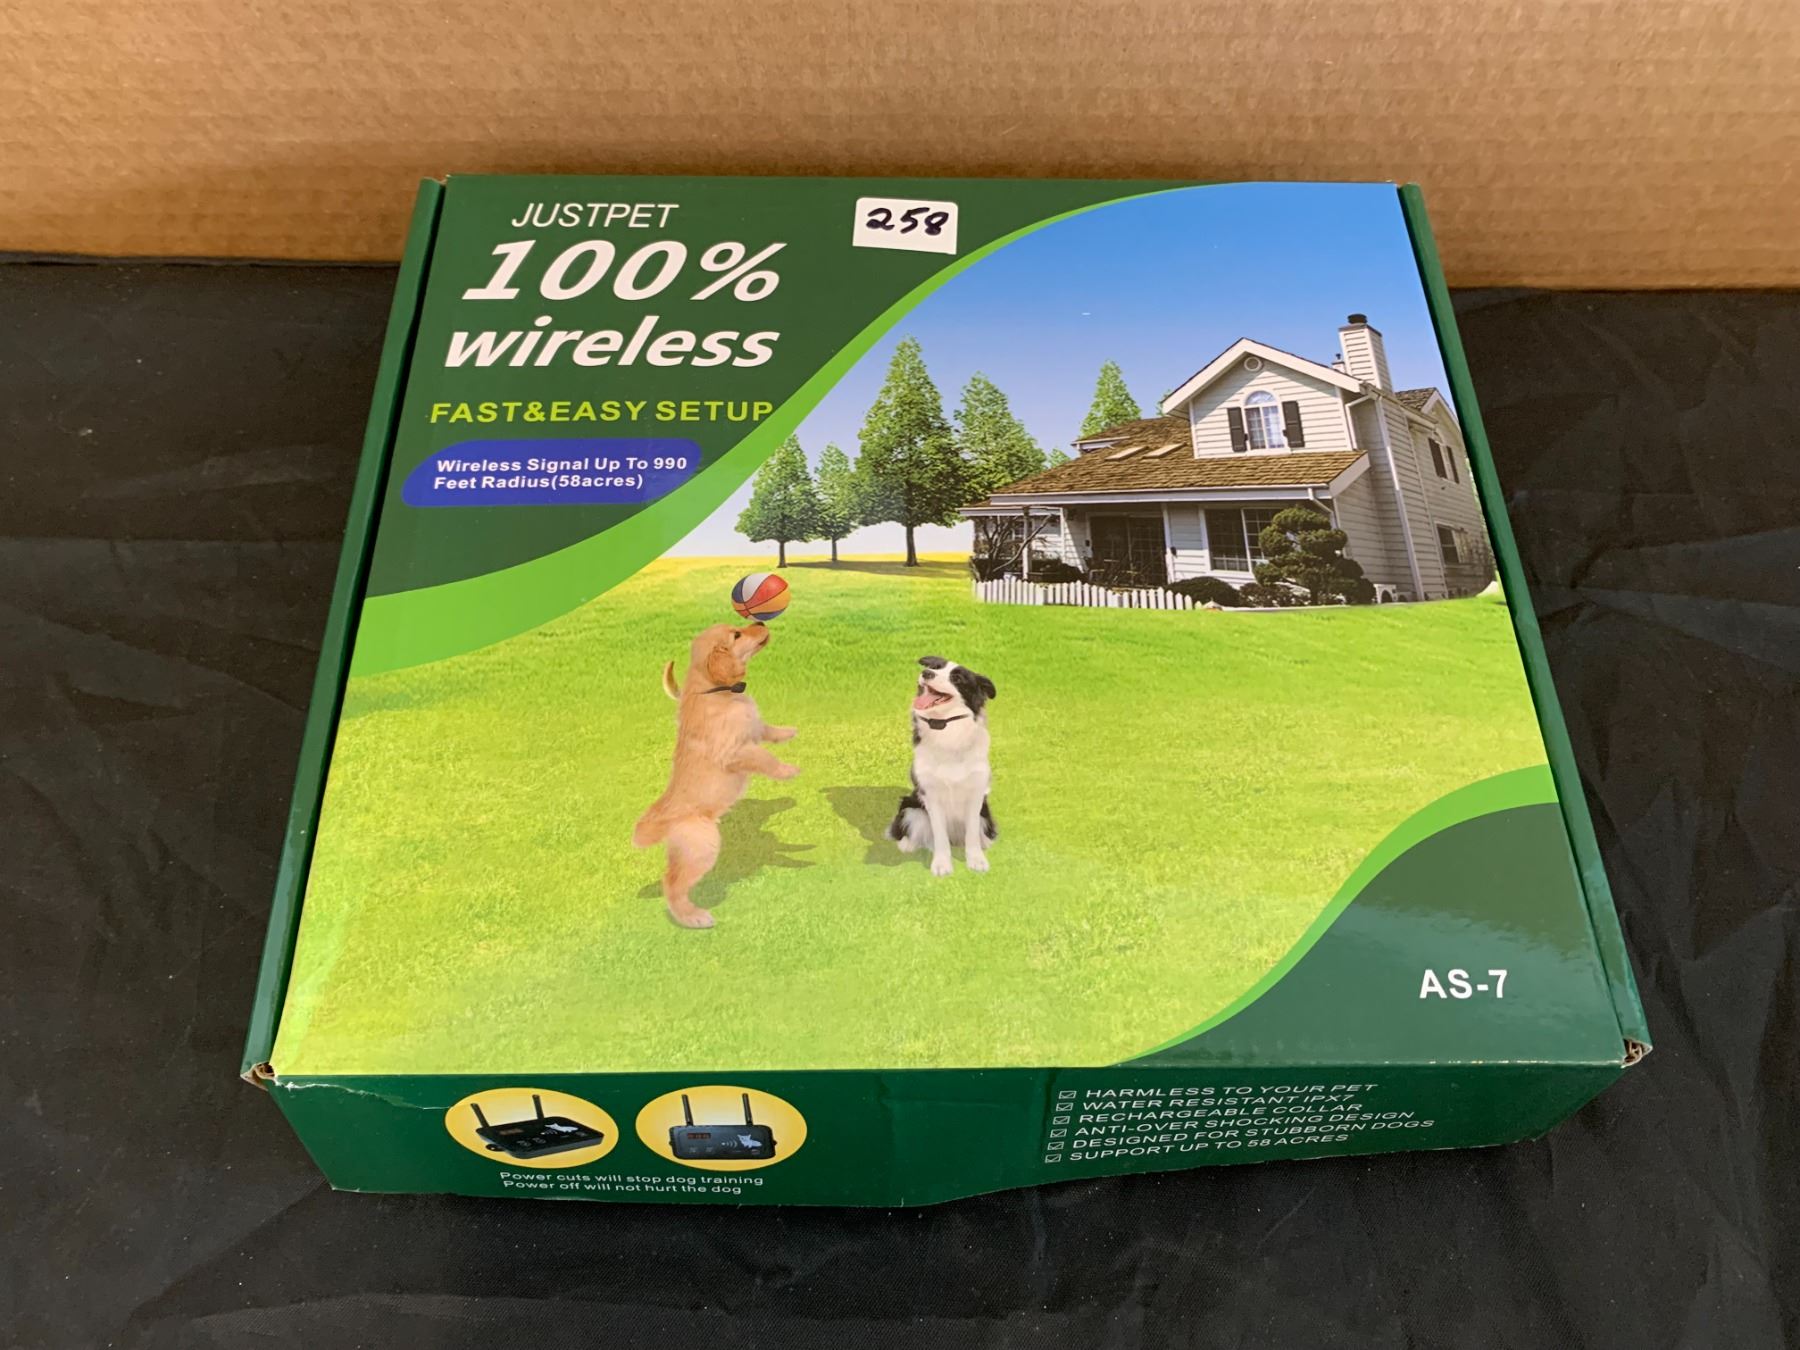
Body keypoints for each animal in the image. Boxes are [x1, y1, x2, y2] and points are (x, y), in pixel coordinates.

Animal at [632, 622, 797, 928]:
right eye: (737, 635)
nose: (760, 622)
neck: (717, 690)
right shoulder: (736, 751)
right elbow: (766, 758)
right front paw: (789, 770)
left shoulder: (753, 729)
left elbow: (767, 728)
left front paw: (789, 732)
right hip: (704, 846)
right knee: (671, 882)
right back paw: (693, 917)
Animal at [886, 656, 997, 875]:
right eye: (934, 667)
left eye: (957, 678)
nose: (926, 673)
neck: (946, 729)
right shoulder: (931, 794)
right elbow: (939, 836)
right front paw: (942, 865)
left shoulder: (976, 793)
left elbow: (972, 833)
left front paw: (976, 860)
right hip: (911, 807)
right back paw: (907, 844)